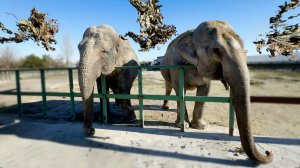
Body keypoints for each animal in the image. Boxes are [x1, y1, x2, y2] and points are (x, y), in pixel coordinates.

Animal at [161, 20, 274, 163]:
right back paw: (165, 107)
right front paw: (183, 126)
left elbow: (204, 91)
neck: (193, 34)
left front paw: (200, 127)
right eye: (216, 50)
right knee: (169, 87)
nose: (268, 152)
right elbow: (180, 90)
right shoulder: (176, 65)